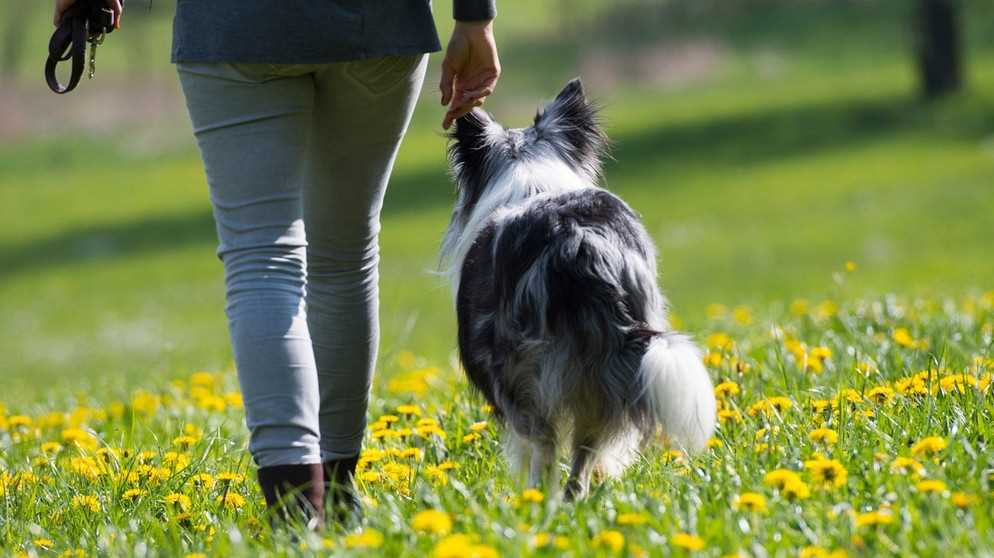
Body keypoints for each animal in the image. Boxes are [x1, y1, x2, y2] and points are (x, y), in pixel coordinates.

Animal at [440, 77, 712, 498]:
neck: (529, 171)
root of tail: (580, 239)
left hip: (525, 373)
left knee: (545, 445)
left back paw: (537, 499)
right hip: (612, 365)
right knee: (588, 446)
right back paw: (574, 499)